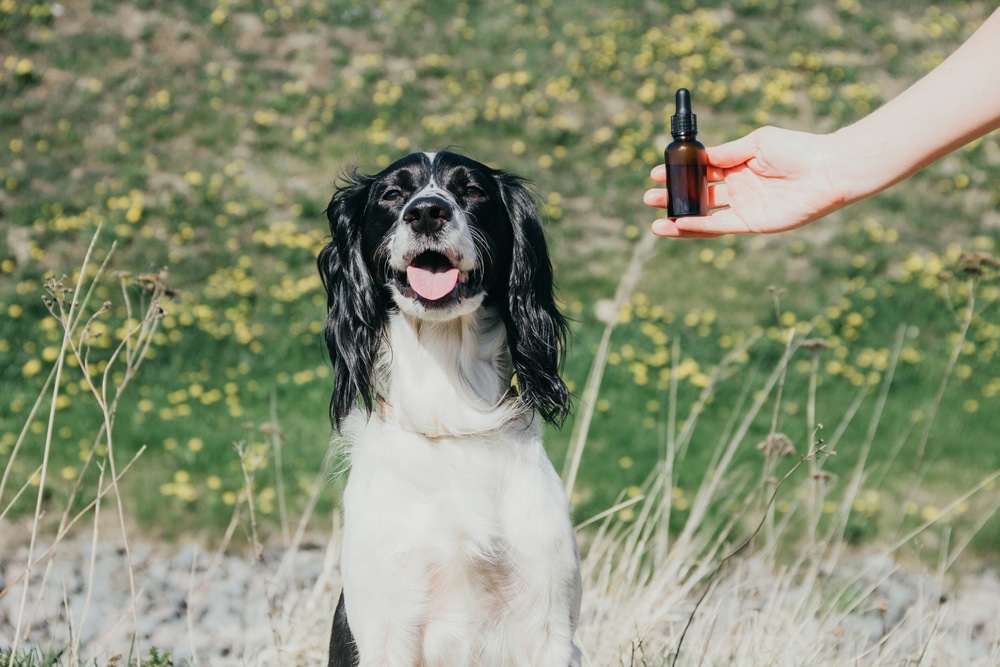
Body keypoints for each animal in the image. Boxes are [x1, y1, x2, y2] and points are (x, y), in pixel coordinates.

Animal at [320, 153, 584, 667]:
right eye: (392, 194)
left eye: (473, 191)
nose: (426, 212)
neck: (450, 414)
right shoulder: (386, 627)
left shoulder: (548, 624)